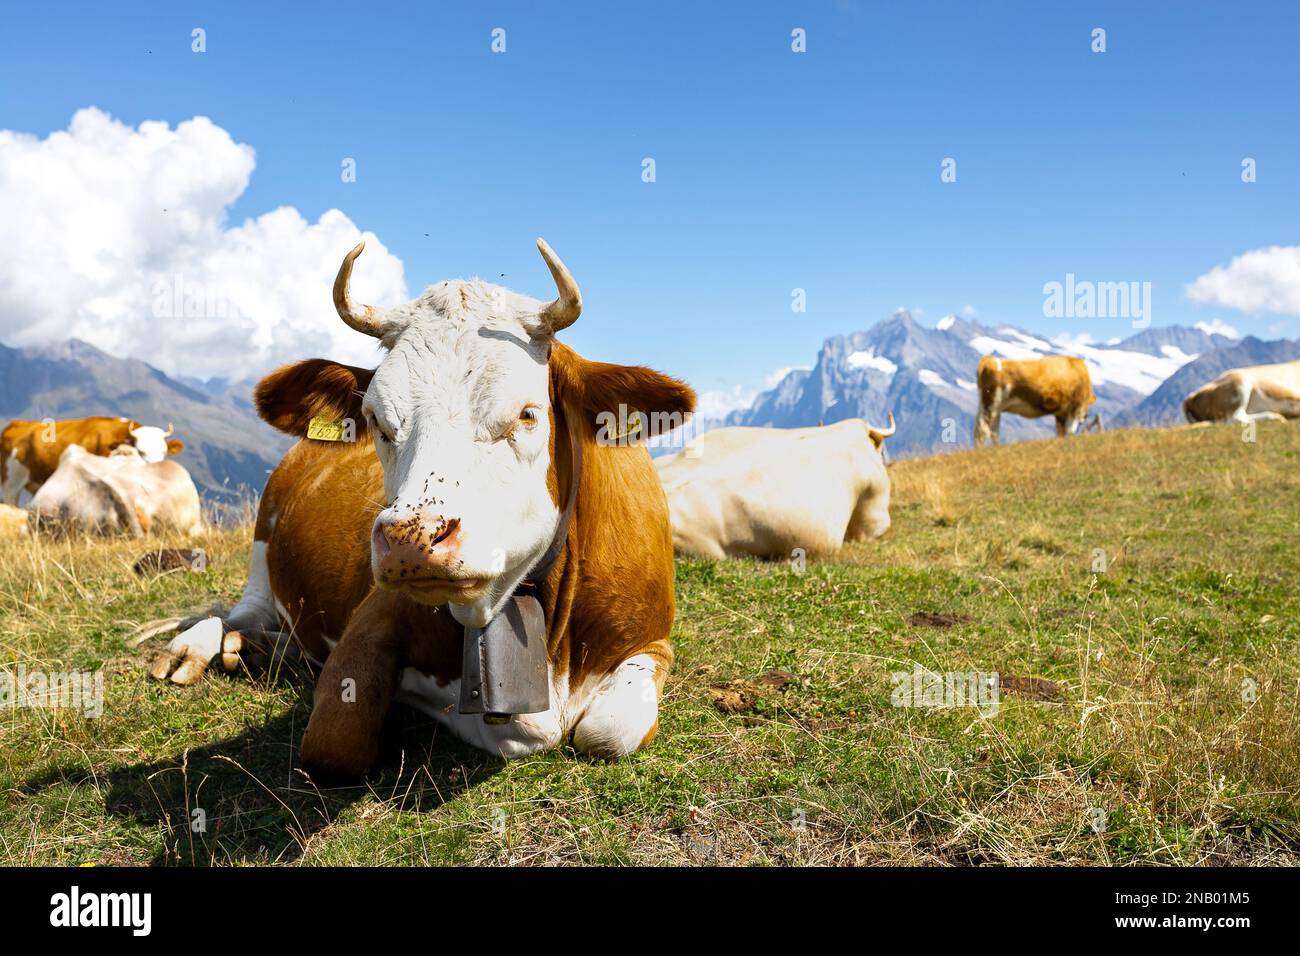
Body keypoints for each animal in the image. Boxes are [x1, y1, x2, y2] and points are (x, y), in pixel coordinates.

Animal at [150, 239, 696, 777]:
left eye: (527, 414)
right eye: (376, 419)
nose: (410, 540)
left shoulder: (653, 642)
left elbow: (607, 732)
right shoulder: (372, 619)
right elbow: (337, 738)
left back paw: (257, 652)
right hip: (262, 547)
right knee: (240, 611)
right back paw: (200, 647)